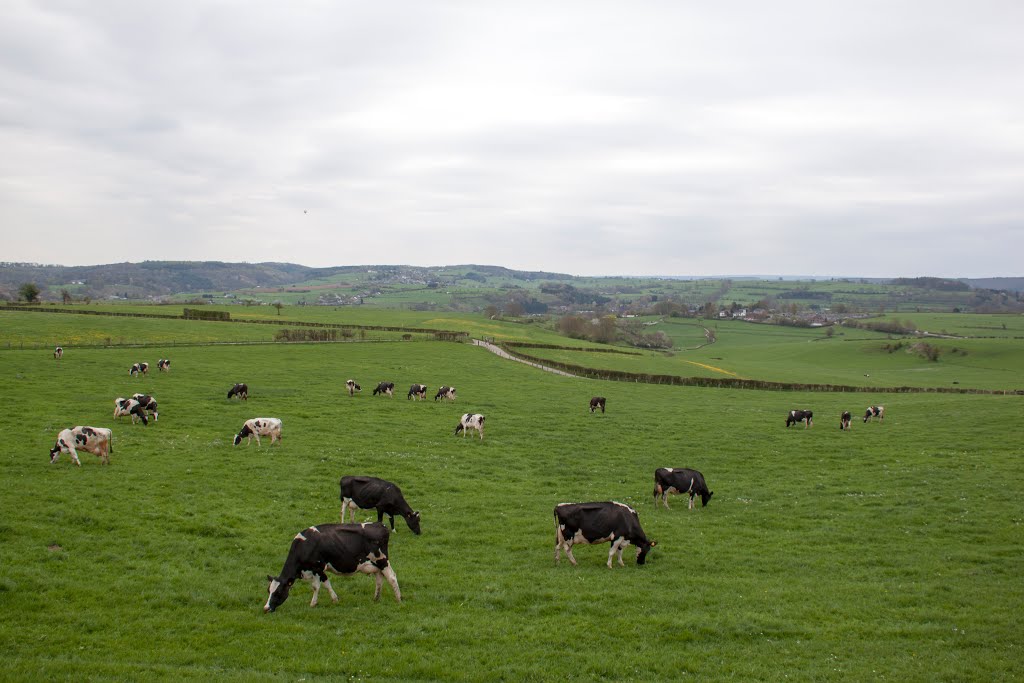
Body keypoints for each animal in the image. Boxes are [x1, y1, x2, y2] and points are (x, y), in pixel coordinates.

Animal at [262, 524, 401, 614]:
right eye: (269, 591)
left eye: (278, 592)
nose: (266, 608)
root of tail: (380, 525)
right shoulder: (320, 570)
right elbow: (327, 584)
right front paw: (335, 599)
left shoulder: (317, 567)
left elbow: (316, 587)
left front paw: (313, 604)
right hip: (375, 565)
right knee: (379, 579)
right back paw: (376, 598)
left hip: (382, 560)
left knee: (392, 577)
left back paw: (398, 599)